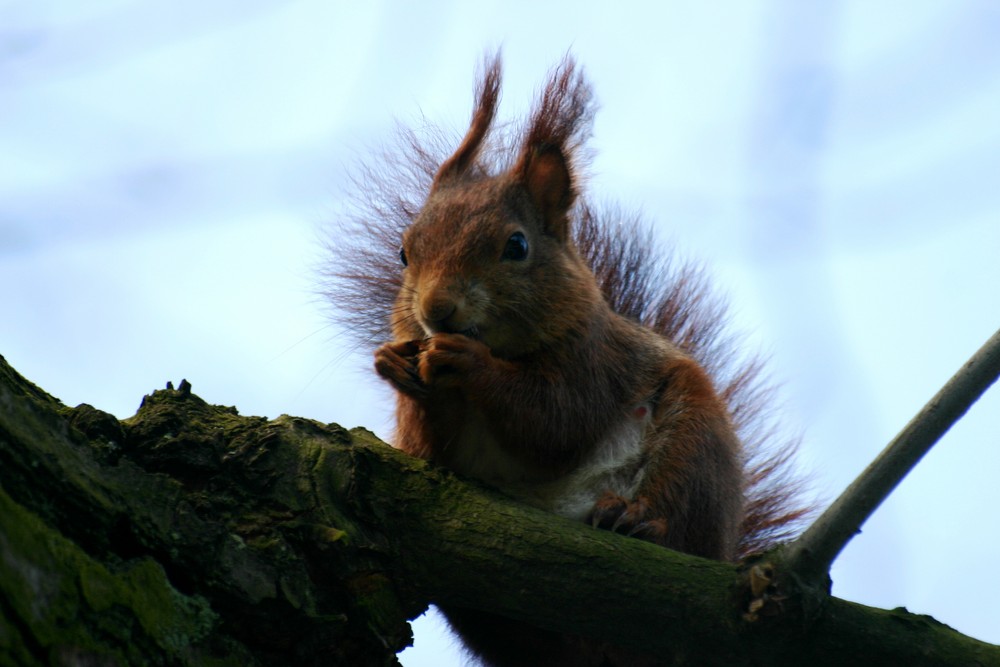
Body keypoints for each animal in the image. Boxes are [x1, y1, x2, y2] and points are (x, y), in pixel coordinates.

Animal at [324, 56, 808, 667]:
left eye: (517, 246)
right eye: (404, 252)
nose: (436, 311)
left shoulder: (594, 363)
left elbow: (556, 422)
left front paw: (470, 362)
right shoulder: (436, 459)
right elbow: (432, 452)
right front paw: (395, 365)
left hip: (697, 445)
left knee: (679, 504)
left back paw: (635, 518)